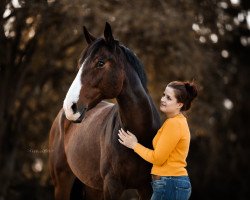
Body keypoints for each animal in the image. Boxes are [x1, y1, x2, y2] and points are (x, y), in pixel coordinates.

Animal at [49, 22, 161, 199]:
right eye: (80, 65)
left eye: (100, 62)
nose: (70, 107)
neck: (139, 136)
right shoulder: (112, 186)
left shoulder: (147, 187)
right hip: (62, 183)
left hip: (92, 188)